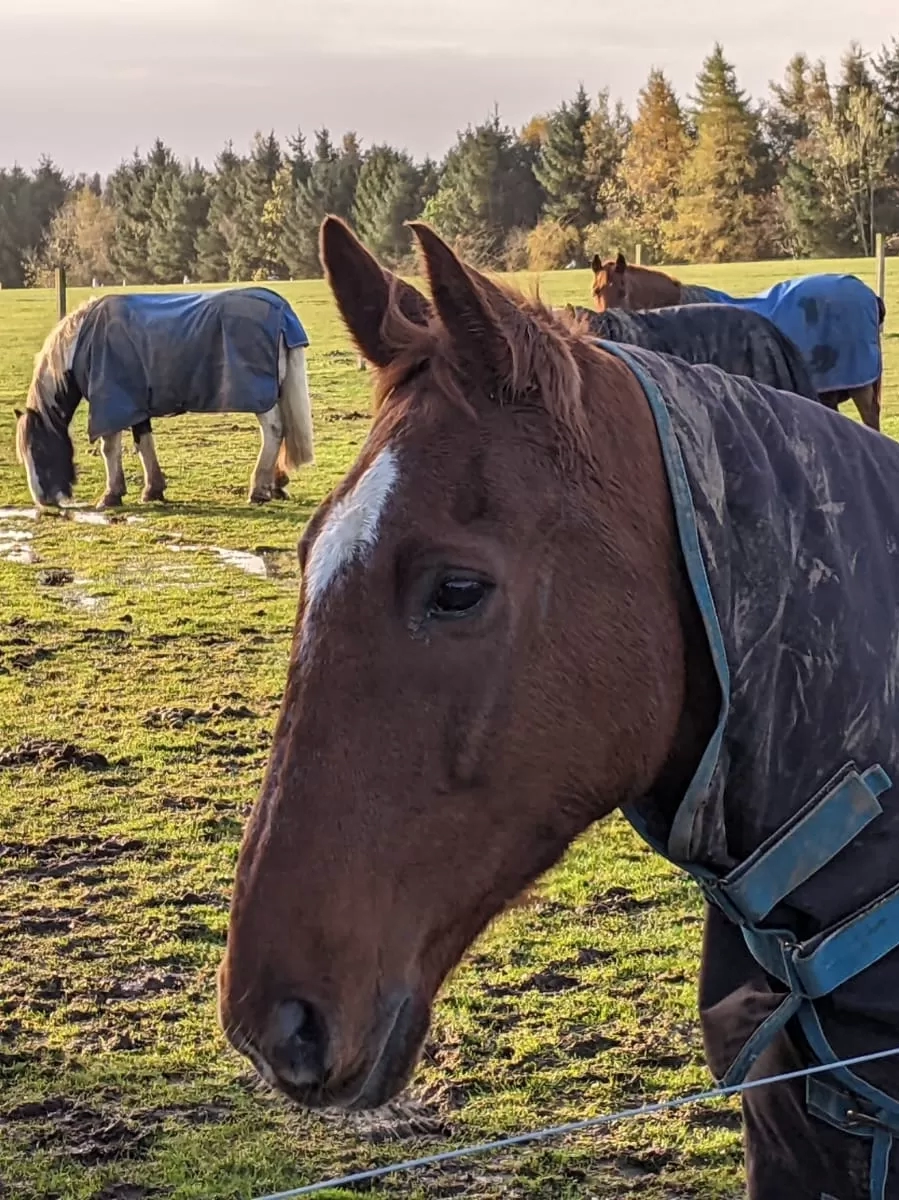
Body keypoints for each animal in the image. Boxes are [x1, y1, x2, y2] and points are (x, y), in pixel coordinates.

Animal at [13, 288, 314, 508]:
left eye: (38, 449)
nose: (43, 501)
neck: (79, 344)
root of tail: (281, 309)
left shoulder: (111, 403)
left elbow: (110, 448)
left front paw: (111, 495)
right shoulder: (135, 405)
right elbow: (144, 443)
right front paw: (152, 490)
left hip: (263, 399)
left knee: (274, 431)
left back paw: (259, 489)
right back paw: (276, 484)